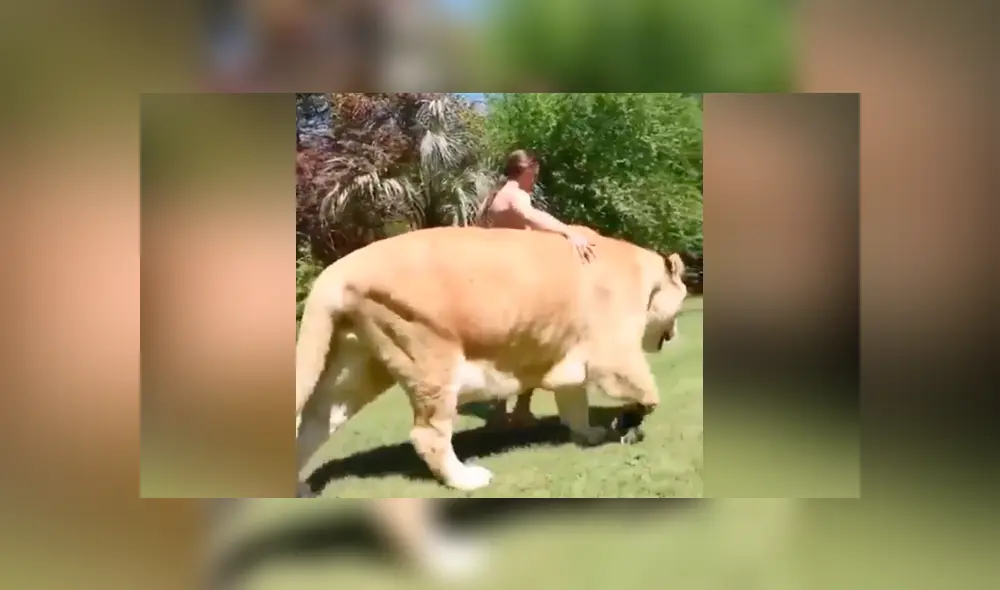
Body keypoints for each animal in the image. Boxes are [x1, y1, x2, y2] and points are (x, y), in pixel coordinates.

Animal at [295, 226, 687, 496]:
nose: (677, 333)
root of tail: (336, 271)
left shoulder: (571, 358)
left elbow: (574, 404)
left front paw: (589, 434)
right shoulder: (615, 355)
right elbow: (649, 394)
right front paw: (627, 423)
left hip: (356, 371)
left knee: (315, 421)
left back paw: (299, 488)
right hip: (430, 358)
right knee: (428, 434)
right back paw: (468, 479)